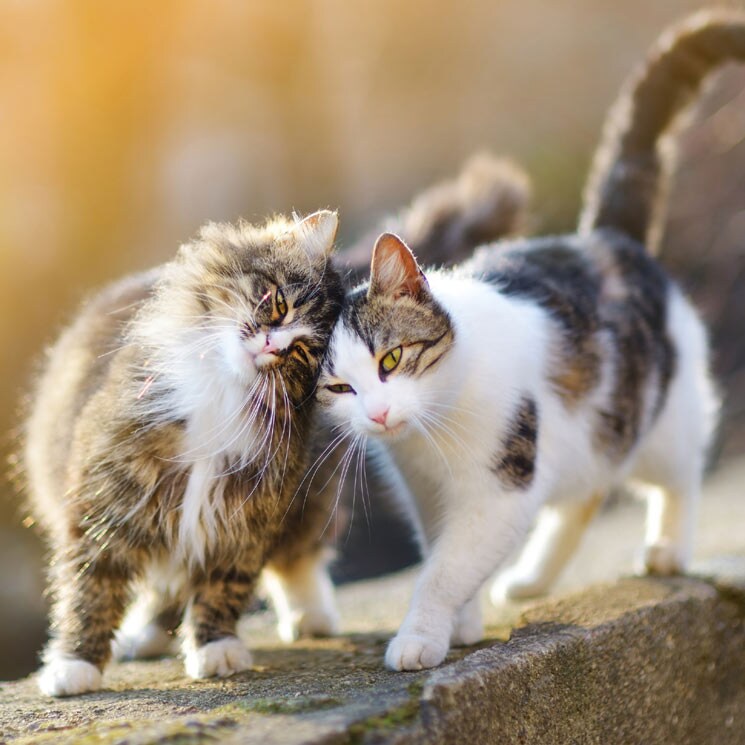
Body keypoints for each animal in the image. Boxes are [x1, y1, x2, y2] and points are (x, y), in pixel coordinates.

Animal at [316, 11, 740, 672]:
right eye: (338, 387)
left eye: (391, 358)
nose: (379, 415)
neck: (434, 434)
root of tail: (604, 238)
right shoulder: (428, 496)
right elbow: (443, 555)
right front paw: (461, 624)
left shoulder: (498, 492)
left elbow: (443, 570)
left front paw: (419, 637)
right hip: (584, 436)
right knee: (584, 494)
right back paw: (533, 579)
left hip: (661, 417)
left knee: (680, 474)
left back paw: (668, 546)